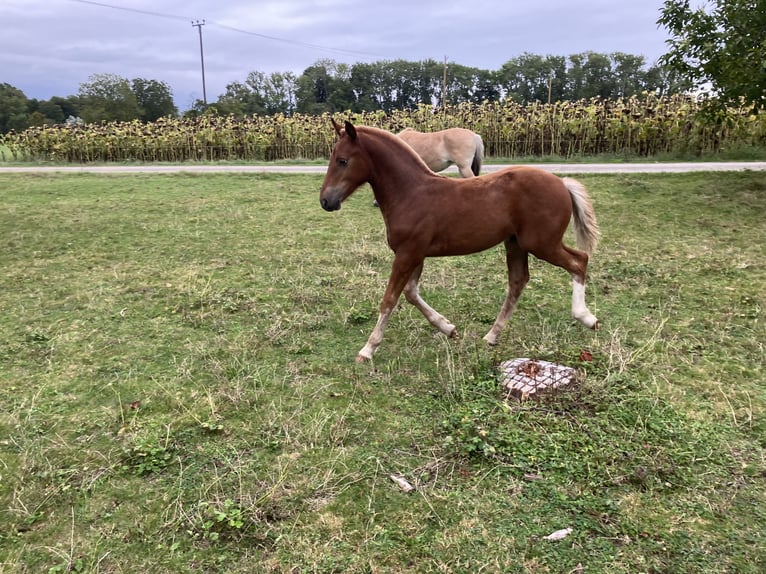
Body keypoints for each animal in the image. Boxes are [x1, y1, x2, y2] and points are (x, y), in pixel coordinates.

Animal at [320, 119, 604, 362]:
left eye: (343, 160)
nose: (326, 201)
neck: (411, 192)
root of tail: (562, 183)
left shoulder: (407, 253)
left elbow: (390, 298)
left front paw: (368, 349)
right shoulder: (415, 254)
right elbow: (411, 293)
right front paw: (448, 328)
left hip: (542, 244)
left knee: (579, 261)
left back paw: (587, 318)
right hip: (516, 243)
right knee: (518, 281)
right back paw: (491, 336)